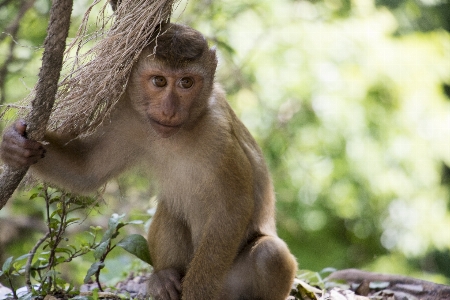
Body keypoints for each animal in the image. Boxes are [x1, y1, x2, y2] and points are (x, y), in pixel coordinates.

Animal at [0, 24, 298, 300]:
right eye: (159, 81)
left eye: (186, 82)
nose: (169, 110)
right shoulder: (127, 116)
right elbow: (86, 172)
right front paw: (15, 145)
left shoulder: (218, 132)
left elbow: (232, 208)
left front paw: (196, 293)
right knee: (171, 208)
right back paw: (164, 278)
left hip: (227, 284)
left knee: (270, 254)